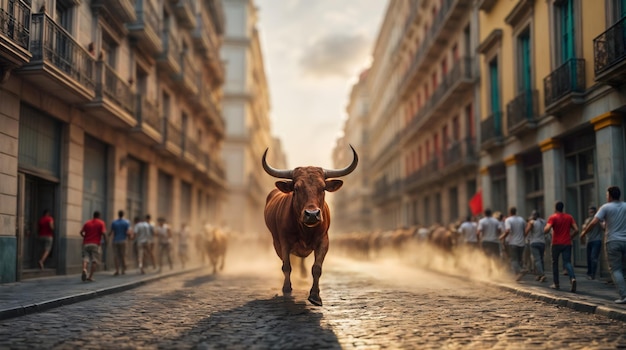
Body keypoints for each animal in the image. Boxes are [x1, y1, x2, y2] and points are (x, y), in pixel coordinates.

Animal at [260, 144, 356, 304]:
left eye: (323, 188)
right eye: (296, 188)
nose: (312, 214)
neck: (306, 230)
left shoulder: (323, 241)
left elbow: (316, 268)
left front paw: (315, 295)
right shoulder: (283, 242)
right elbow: (286, 266)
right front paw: (287, 288)